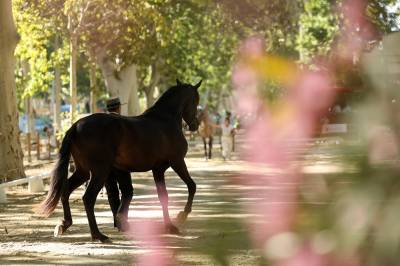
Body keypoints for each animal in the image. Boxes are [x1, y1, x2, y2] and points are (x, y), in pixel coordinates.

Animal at [37, 79, 202, 243]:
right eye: (196, 100)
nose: (195, 125)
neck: (165, 120)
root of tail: (76, 126)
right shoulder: (177, 162)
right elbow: (192, 186)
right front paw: (181, 216)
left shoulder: (158, 170)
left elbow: (164, 197)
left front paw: (169, 226)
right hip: (99, 172)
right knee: (88, 198)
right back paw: (98, 235)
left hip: (83, 172)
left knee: (66, 190)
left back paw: (64, 224)